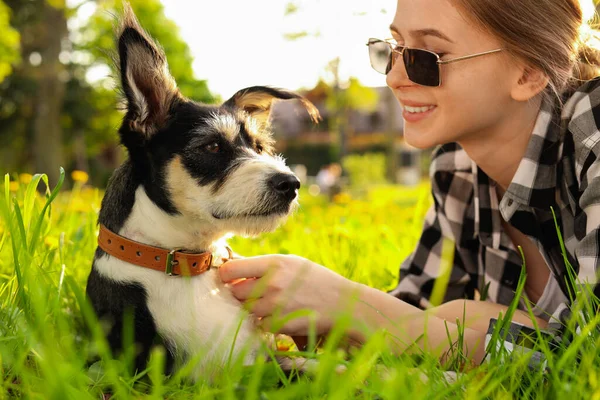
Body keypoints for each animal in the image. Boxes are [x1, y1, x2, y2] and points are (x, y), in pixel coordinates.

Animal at [85, 4, 322, 380]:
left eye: (259, 147)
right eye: (211, 146)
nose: (291, 183)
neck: (185, 264)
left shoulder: (265, 355)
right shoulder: (209, 375)